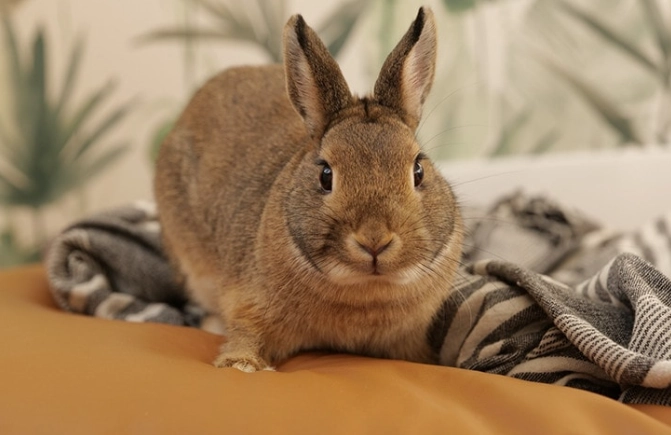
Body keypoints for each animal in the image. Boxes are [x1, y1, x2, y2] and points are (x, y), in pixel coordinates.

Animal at [154, 6, 463, 372]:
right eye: (325, 175)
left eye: (418, 170)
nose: (374, 239)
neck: (366, 290)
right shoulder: (250, 303)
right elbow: (245, 333)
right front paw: (242, 365)